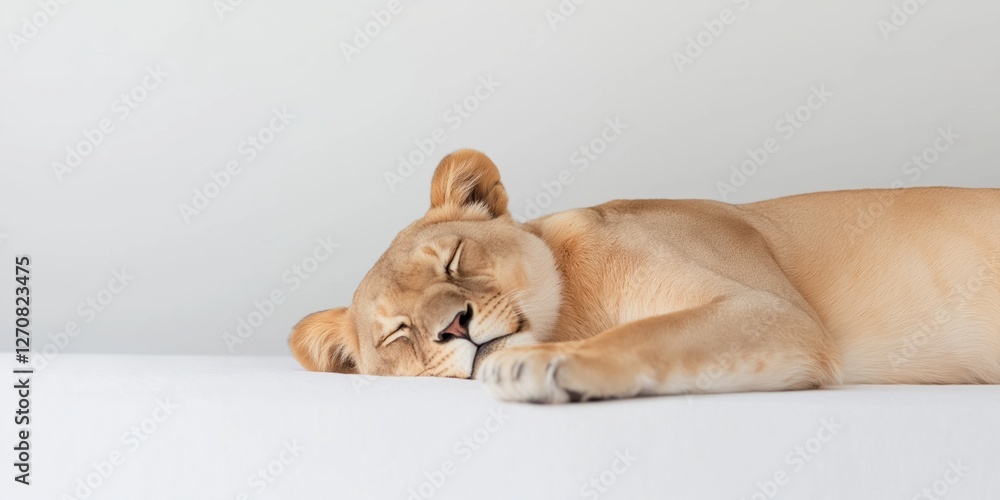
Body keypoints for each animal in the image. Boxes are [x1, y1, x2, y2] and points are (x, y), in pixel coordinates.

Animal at [289, 149, 1000, 403]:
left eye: (454, 259)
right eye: (398, 332)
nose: (454, 328)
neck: (573, 311)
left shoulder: (775, 313)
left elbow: (649, 334)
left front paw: (539, 366)